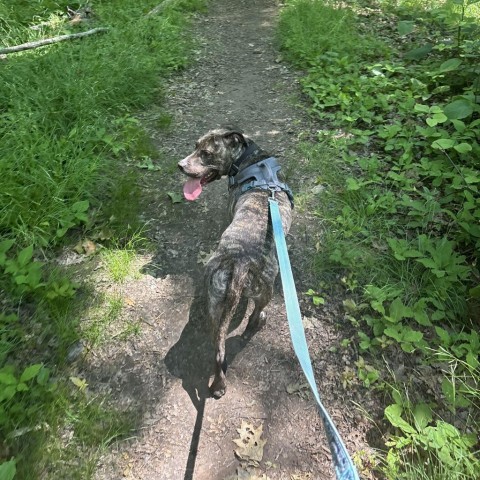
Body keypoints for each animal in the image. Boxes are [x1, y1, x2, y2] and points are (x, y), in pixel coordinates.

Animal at [179, 126, 292, 398]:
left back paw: (219, 386)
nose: (180, 165)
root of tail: (238, 263)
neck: (249, 158)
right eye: (195, 147)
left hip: (215, 305)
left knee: (219, 352)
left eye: (205, 153)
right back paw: (257, 324)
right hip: (265, 291)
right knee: (255, 315)